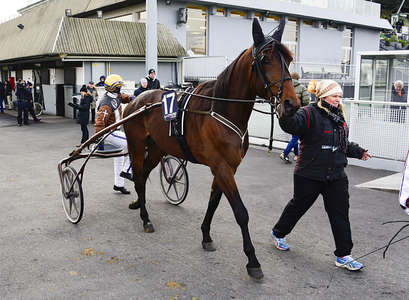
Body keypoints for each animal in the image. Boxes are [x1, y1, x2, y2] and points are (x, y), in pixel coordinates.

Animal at [122, 18, 298, 280]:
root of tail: (134, 101)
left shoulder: (227, 167)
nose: (291, 104)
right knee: (140, 178)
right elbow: (241, 212)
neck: (221, 110)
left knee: (142, 175)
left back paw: (139, 206)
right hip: (135, 146)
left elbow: (214, 202)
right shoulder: (222, 166)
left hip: (157, 149)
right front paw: (252, 260)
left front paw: (205, 234)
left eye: (288, 59)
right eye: (266, 59)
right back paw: (145, 218)